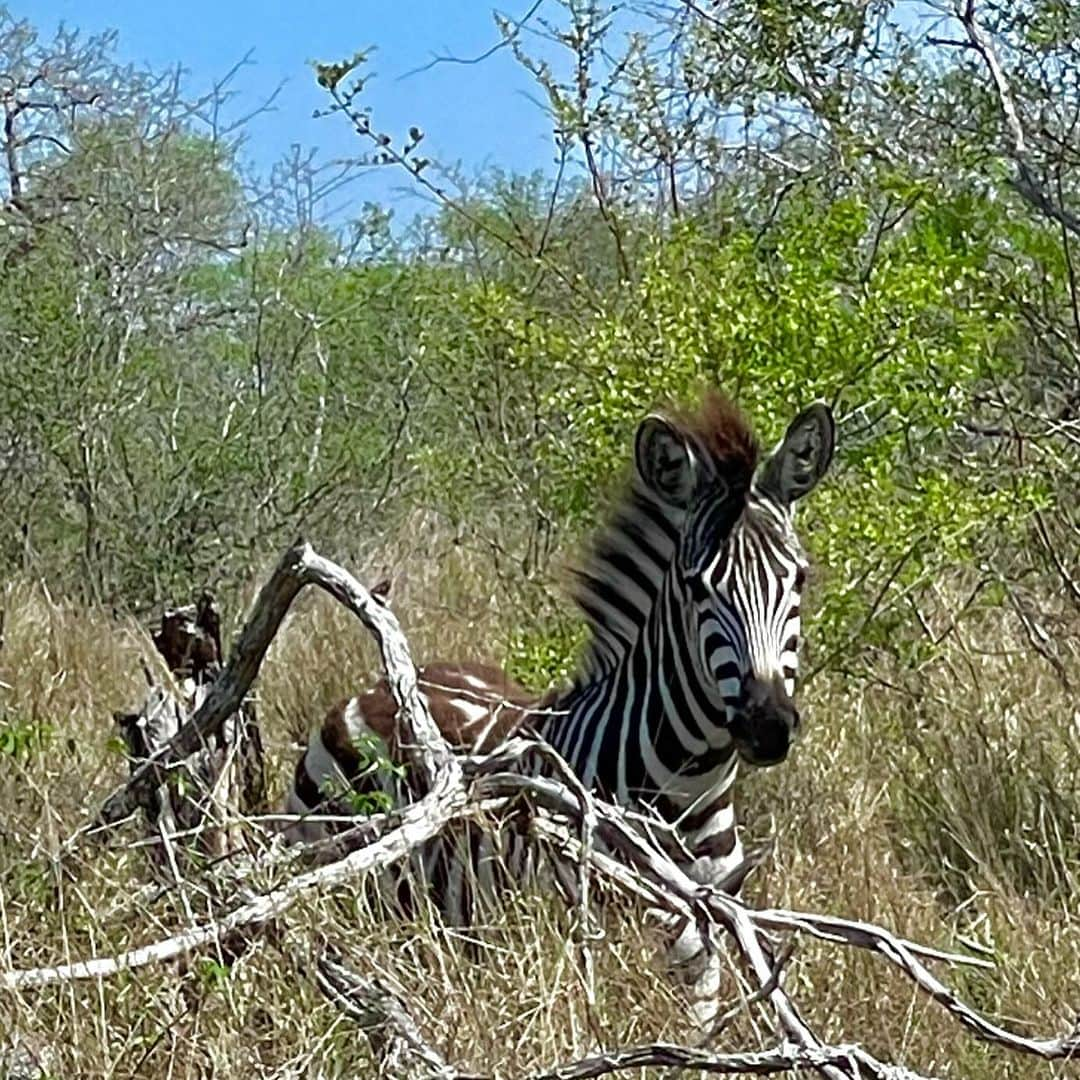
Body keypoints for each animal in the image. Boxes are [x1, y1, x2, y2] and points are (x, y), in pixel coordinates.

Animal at [287, 390, 833, 1019]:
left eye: (800, 579)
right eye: (697, 588)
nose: (767, 725)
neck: (686, 793)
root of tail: (371, 689)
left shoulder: (706, 943)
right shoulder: (598, 936)